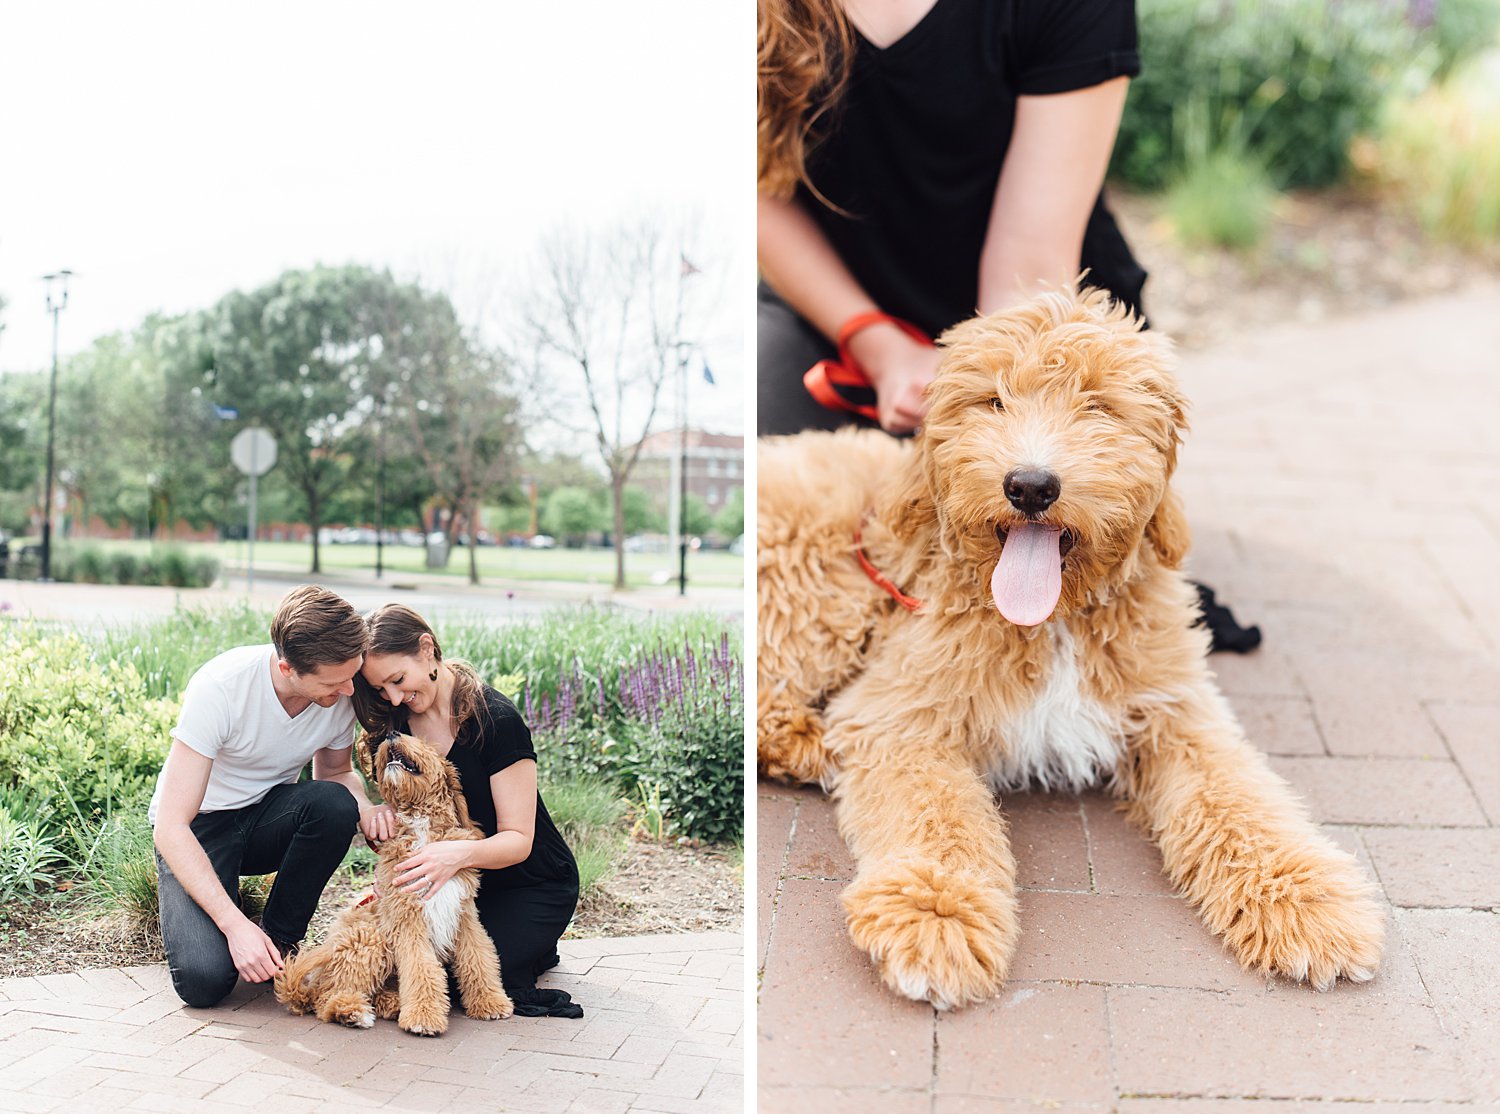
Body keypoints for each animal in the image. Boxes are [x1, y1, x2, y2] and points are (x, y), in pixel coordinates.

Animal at [276, 731, 516, 1037]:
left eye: (424, 742)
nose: (392, 733)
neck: (421, 827)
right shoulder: (408, 919)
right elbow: (421, 967)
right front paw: (424, 1016)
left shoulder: (463, 915)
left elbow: (478, 957)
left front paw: (490, 1001)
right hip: (368, 936)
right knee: (326, 997)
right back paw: (352, 1012)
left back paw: (391, 1003)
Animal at [762, 287, 1380, 1013]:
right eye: (992, 401)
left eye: (1098, 407)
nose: (1030, 485)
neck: (1052, 619)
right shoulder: (903, 716)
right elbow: (938, 816)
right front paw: (937, 914)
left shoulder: (1178, 709)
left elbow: (1242, 800)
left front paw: (1305, 898)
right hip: (826, 591)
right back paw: (806, 745)